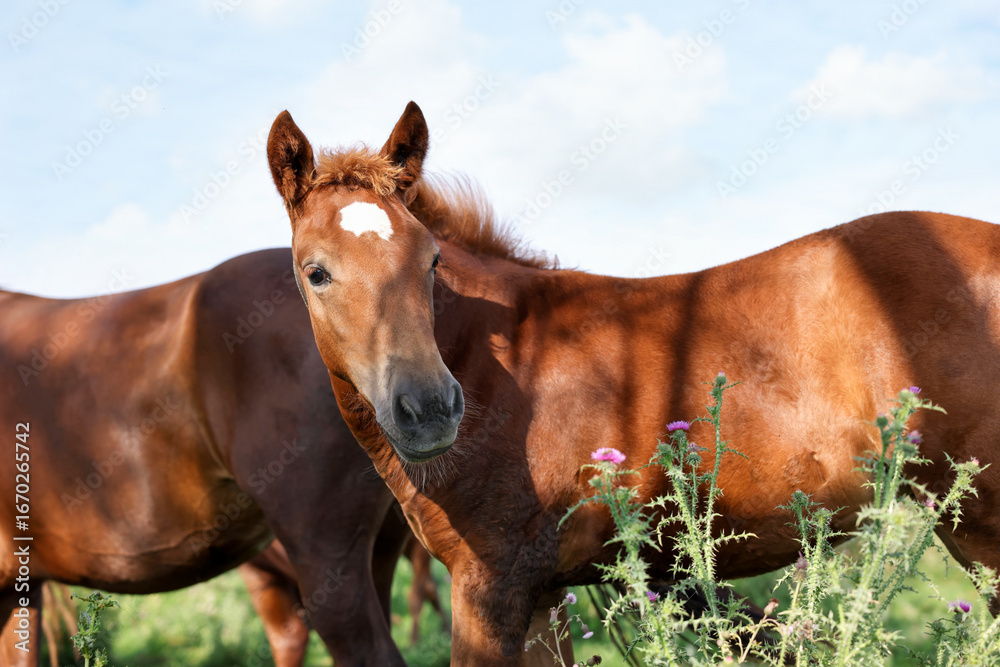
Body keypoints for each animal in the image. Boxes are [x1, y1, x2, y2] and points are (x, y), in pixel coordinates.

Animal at [267, 100, 1000, 664]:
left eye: (431, 261)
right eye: (314, 271)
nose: (430, 410)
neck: (508, 365)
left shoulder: (491, 585)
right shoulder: (540, 594)